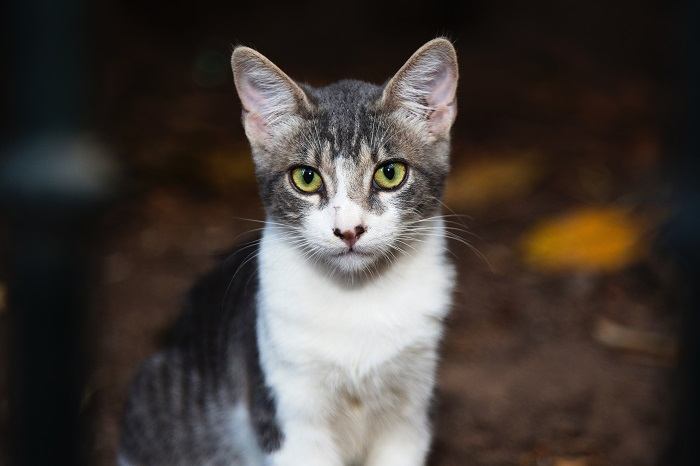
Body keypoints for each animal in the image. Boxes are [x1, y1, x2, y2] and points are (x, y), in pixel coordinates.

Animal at [120, 37, 460, 466]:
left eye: (390, 173)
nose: (349, 230)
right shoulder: (288, 412)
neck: (358, 298)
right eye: (306, 177)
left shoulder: (410, 411)